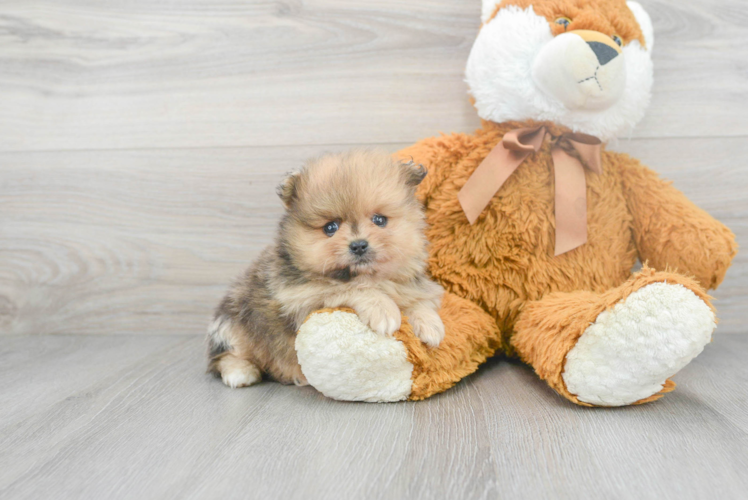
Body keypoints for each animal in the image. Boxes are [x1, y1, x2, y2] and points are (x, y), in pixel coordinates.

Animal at [207, 146, 444, 388]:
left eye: (379, 220)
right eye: (330, 227)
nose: (359, 245)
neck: (367, 275)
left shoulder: (411, 286)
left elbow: (420, 300)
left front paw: (430, 324)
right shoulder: (303, 299)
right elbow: (352, 288)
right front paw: (383, 309)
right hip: (231, 323)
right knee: (226, 355)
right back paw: (241, 372)